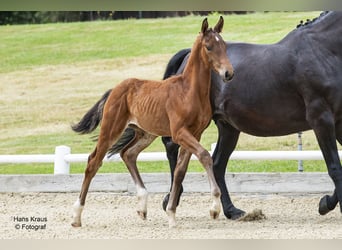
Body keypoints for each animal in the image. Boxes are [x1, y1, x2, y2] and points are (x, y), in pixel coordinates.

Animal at [71, 17, 234, 229]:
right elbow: (205, 156)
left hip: (145, 133)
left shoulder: (195, 133)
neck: (188, 91)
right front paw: (214, 208)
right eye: (208, 47)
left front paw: (171, 215)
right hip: (111, 128)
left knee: (128, 154)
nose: (228, 73)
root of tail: (115, 89)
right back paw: (76, 216)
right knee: (94, 161)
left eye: (224, 45)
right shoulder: (179, 132)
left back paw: (142, 206)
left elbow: (180, 171)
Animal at [104, 11, 342, 220]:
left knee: (216, 164)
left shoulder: (338, 122)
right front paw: (325, 204)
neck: (323, 51)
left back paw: (230, 211)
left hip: (228, 127)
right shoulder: (321, 119)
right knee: (174, 148)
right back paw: (173, 198)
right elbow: (335, 167)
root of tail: (187, 56)